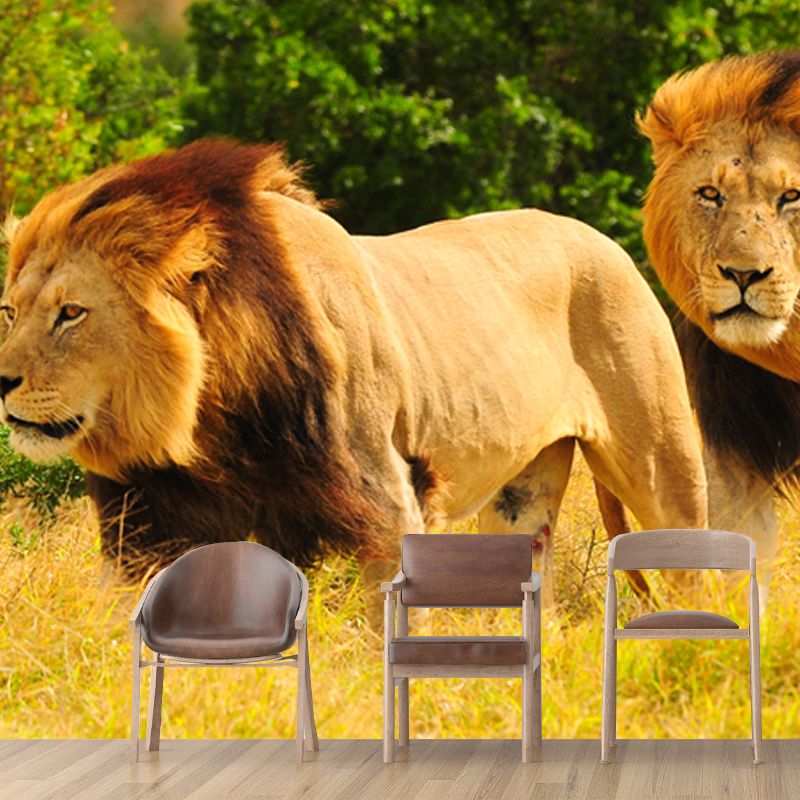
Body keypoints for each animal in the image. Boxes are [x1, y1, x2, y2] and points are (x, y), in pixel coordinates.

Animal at [0, 139, 707, 594]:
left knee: (692, 561)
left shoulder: (389, 503)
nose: (2, 380)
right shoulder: (144, 528)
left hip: (661, 457)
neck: (207, 425)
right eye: (9, 311)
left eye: (71, 313)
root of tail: (604, 238)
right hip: (520, 497)